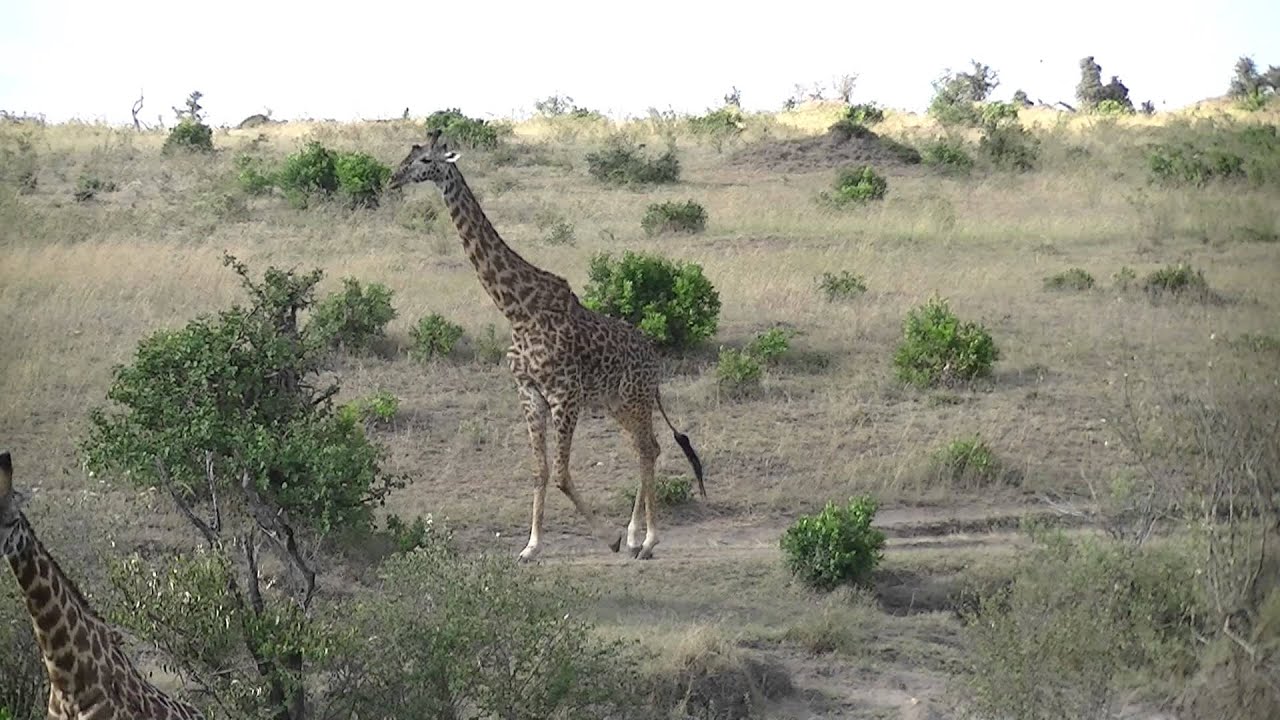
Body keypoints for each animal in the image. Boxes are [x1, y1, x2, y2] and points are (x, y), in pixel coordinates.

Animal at [388, 130, 706, 562]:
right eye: (409, 154)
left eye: (424, 160)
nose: (393, 178)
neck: (517, 309)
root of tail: (654, 358)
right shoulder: (529, 393)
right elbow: (539, 470)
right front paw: (531, 546)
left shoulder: (564, 396)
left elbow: (560, 474)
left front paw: (607, 537)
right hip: (616, 403)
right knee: (650, 448)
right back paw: (636, 536)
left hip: (634, 399)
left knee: (646, 449)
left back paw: (648, 539)